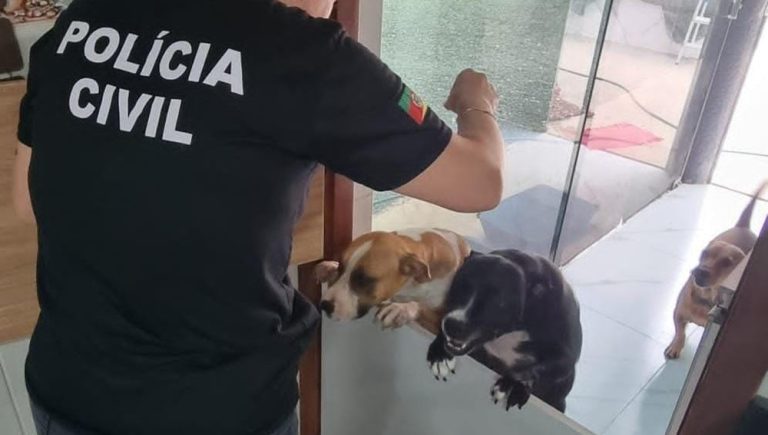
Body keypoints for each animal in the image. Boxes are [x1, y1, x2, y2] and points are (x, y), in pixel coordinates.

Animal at [316, 229, 471, 332]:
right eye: (341, 267)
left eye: (363, 280)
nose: (324, 305)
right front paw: (329, 268)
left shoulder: (443, 319)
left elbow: (423, 307)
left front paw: (401, 308)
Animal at [426, 249, 582, 412]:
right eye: (459, 285)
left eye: (495, 302)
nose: (453, 325)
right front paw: (440, 354)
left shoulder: (565, 361)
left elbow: (534, 369)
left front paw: (511, 384)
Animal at [665, 182, 767, 359]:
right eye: (704, 253)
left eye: (727, 262)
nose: (699, 271)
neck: (706, 298)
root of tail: (743, 227)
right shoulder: (678, 313)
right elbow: (680, 333)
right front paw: (675, 346)